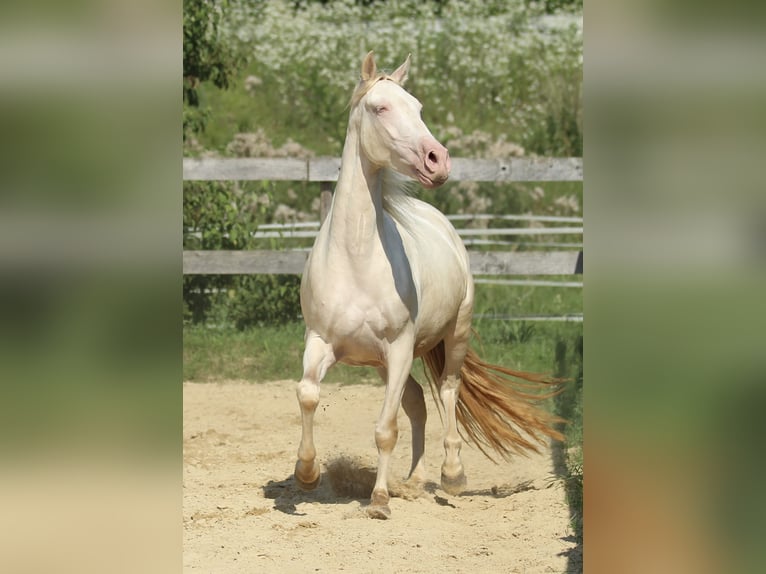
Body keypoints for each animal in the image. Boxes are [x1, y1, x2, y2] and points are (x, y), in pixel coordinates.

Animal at [296, 53, 560, 520]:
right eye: (380, 108)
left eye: (418, 107)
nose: (438, 160)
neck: (356, 258)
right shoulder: (321, 340)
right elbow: (308, 394)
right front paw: (306, 473)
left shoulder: (399, 347)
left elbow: (386, 428)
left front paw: (379, 500)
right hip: (385, 362)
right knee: (417, 400)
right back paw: (415, 480)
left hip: (452, 335)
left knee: (447, 391)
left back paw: (450, 475)